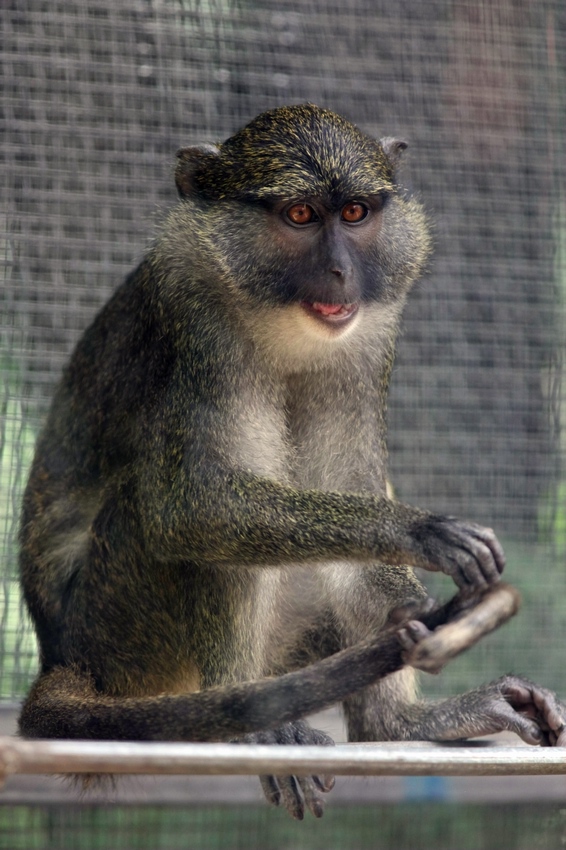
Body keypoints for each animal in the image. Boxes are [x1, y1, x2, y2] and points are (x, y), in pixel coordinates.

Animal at [18, 104, 566, 820]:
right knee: (184, 524)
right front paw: (418, 532)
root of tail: (65, 661)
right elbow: (190, 504)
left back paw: (397, 725)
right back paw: (249, 725)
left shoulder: (371, 333)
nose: (339, 272)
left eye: (355, 213)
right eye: (301, 215)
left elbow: (349, 483)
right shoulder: (198, 318)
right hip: (121, 639)